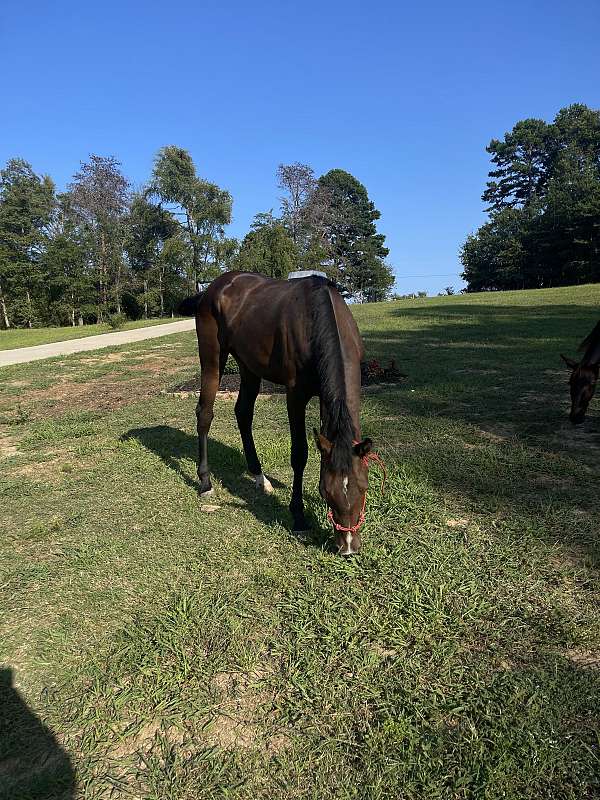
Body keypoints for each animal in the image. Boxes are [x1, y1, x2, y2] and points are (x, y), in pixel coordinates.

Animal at [178, 272, 376, 552]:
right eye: (326, 491)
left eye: (364, 487)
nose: (348, 547)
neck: (316, 318)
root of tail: (214, 288)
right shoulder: (295, 395)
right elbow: (299, 454)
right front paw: (299, 516)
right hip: (213, 358)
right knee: (205, 414)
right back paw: (205, 481)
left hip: (248, 366)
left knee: (243, 413)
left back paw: (259, 476)